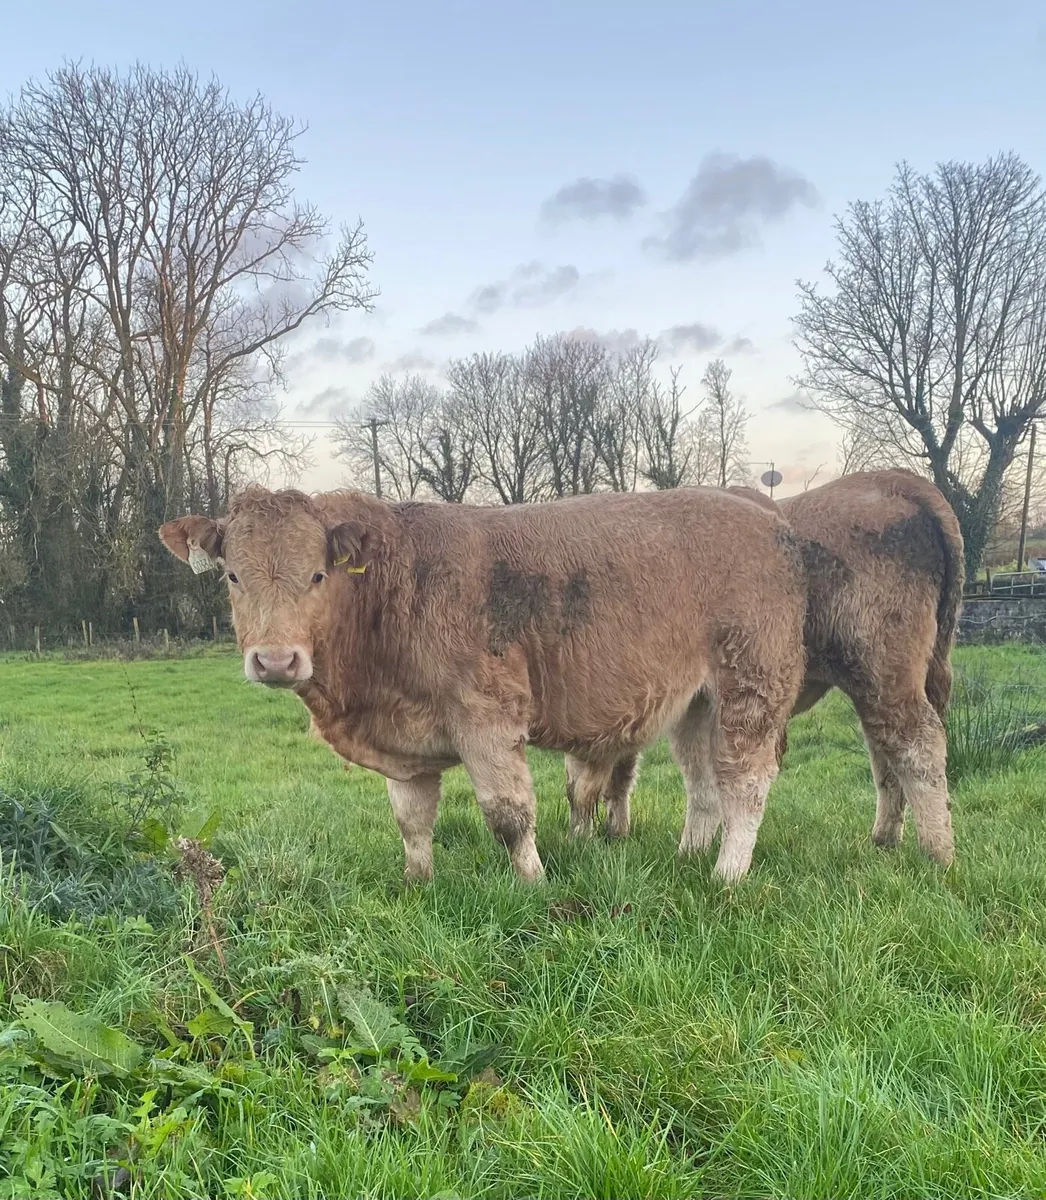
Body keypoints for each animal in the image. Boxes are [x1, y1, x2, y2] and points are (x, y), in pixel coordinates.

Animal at [159, 485, 806, 883]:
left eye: (318, 574)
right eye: (233, 576)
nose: (275, 660)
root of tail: (768, 519)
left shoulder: (486, 714)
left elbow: (509, 814)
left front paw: (534, 882)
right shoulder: (406, 740)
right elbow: (412, 819)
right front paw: (417, 883)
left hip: (753, 684)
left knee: (745, 784)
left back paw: (725, 876)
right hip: (698, 704)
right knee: (703, 785)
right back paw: (690, 856)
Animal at [564, 469, 964, 870]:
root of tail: (895, 481)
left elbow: (601, 776)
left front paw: (597, 831)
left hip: (880, 669)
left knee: (916, 742)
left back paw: (938, 854)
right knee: (885, 750)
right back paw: (886, 838)